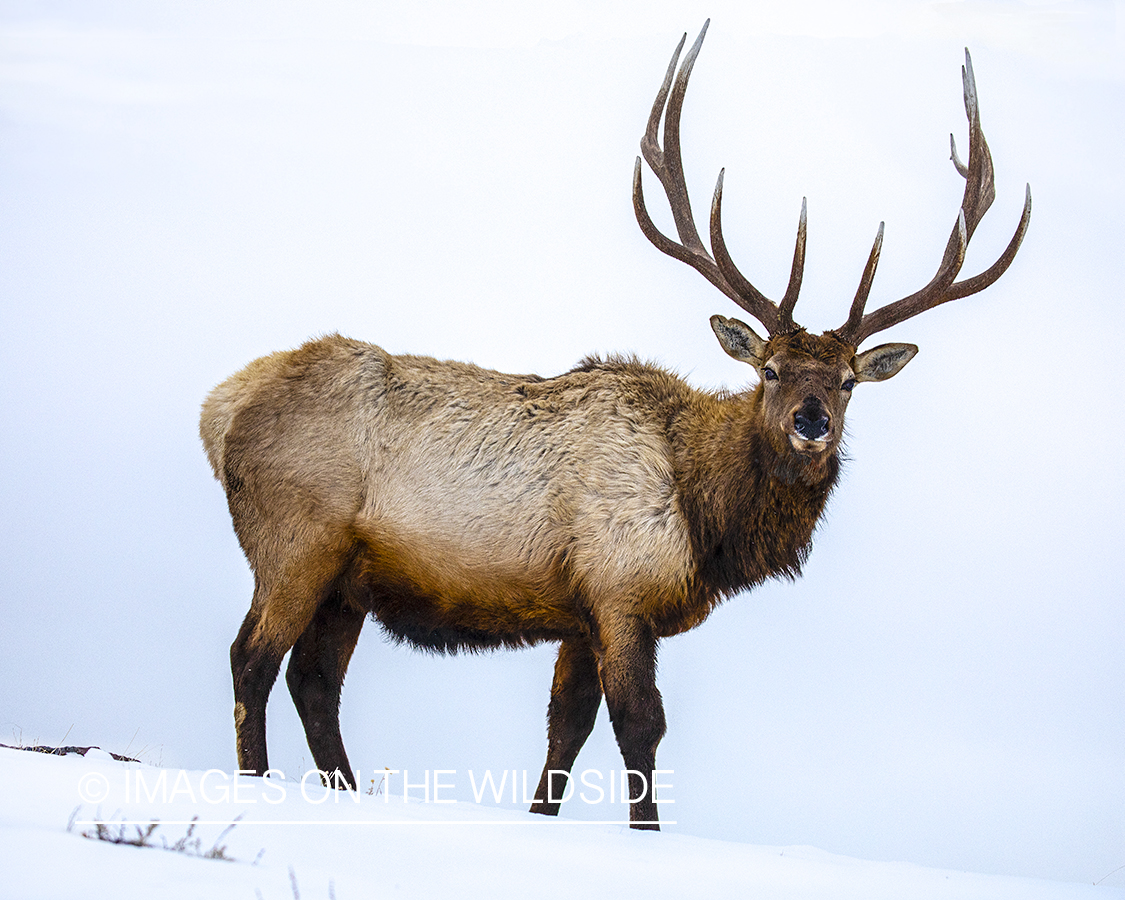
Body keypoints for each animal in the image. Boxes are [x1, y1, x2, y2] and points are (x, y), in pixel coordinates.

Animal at [200, 21, 1030, 832]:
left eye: (849, 381)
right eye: (768, 369)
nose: (811, 420)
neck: (709, 520)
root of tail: (218, 409)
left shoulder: (578, 610)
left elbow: (564, 727)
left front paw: (543, 817)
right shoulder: (621, 587)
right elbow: (640, 725)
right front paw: (646, 832)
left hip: (348, 581)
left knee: (313, 680)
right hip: (296, 539)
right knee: (252, 657)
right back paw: (255, 787)